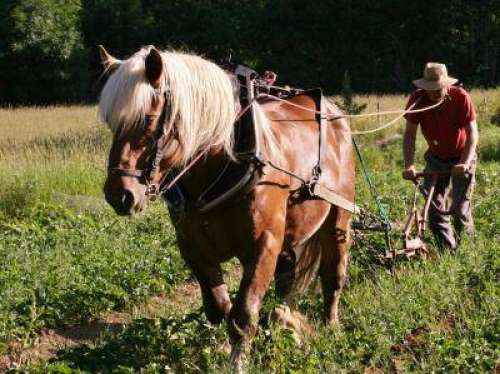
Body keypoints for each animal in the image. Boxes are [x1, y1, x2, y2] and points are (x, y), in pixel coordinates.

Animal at [97, 44, 356, 362]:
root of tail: (333, 112)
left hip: (339, 217)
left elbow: (243, 315)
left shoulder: (263, 245)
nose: (119, 195)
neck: (219, 165)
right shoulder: (192, 246)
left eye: (147, 119)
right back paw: (284, 322)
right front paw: (219, 348)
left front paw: (238, 361)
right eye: (111, 123)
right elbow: (219, 309)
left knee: (333, 274)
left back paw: (330, 327)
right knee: (287, 280)